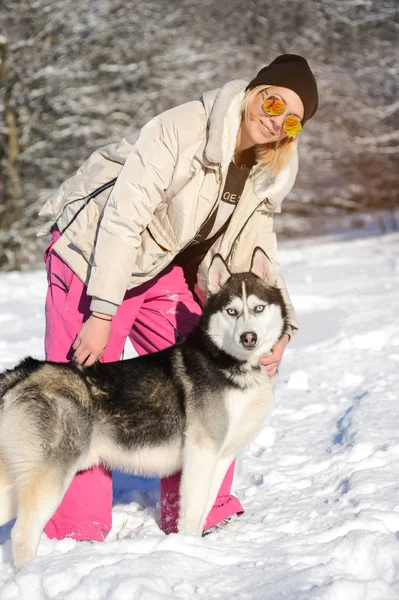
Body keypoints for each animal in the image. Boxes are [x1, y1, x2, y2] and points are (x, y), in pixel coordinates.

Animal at [0, 247, 288, 568]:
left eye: (259, 308)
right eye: (232, 311)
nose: (248, 337)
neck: (229, 365)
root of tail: (25, 372)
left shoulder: (221, 456)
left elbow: (205, 507)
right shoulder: (201, 453)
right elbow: (192, 511)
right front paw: (188, 549)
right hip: (50, 476)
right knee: (23, 533)